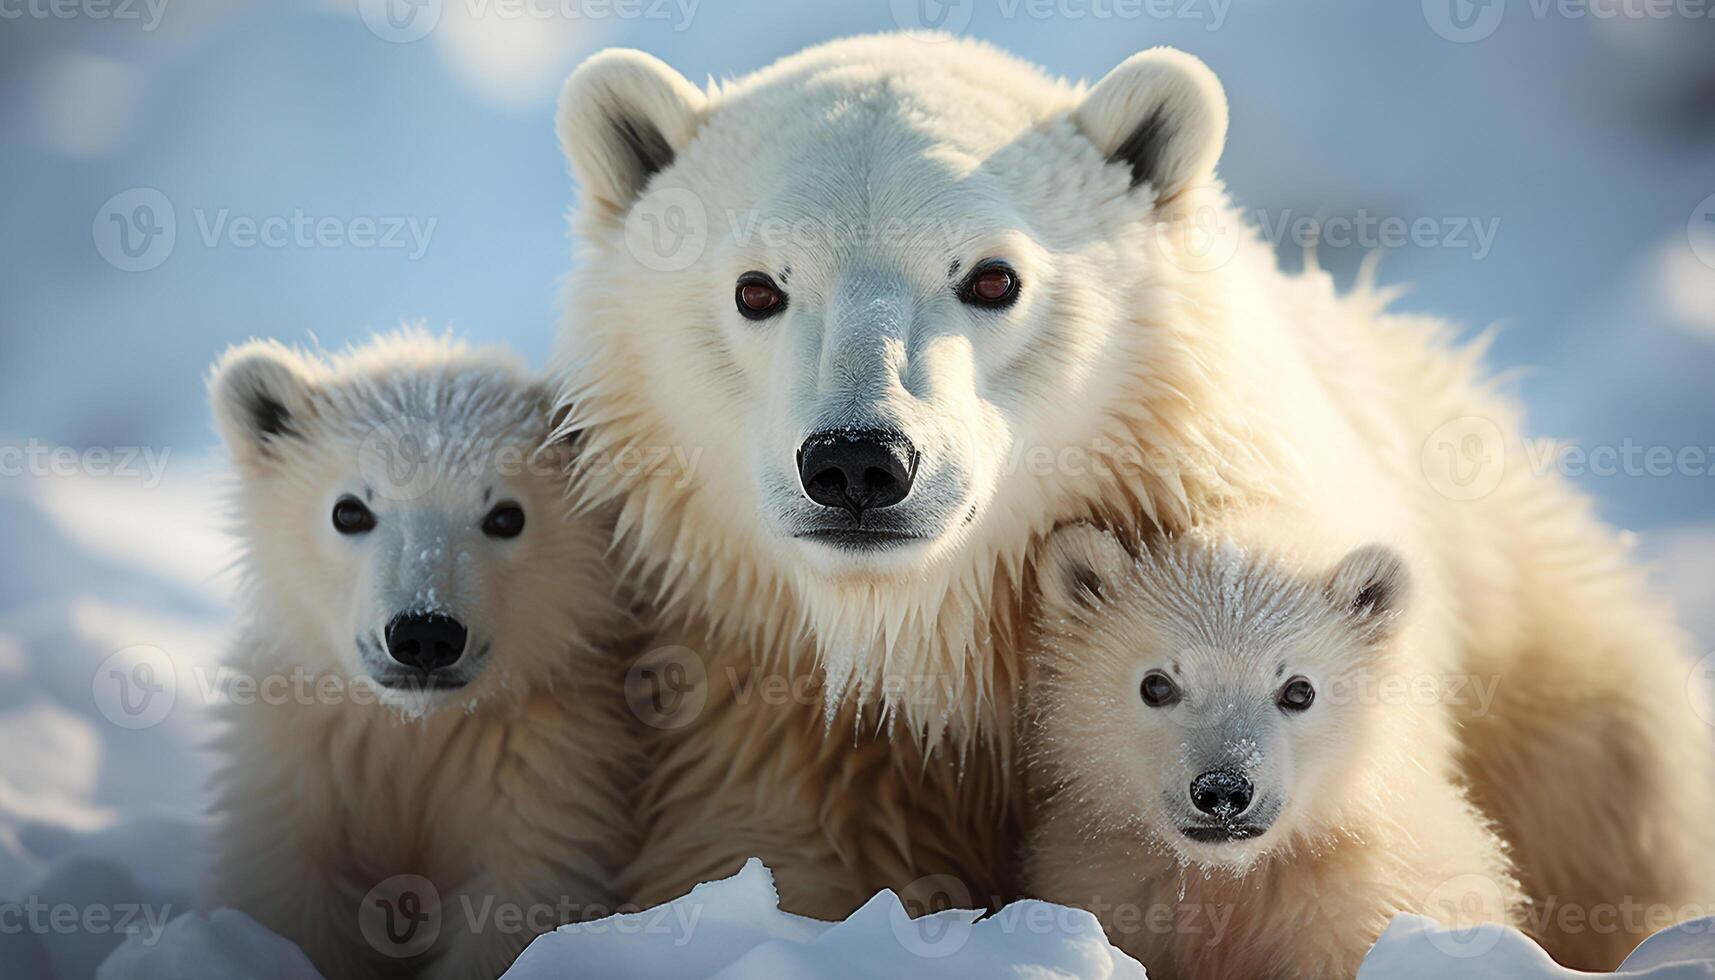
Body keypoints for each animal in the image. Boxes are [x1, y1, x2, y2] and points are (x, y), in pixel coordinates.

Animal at [555, 34, 1708, 967]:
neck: (937, 637)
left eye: (992, 278)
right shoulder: (772, 711)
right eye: (756, 287)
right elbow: (779, 860)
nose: (858, 463)